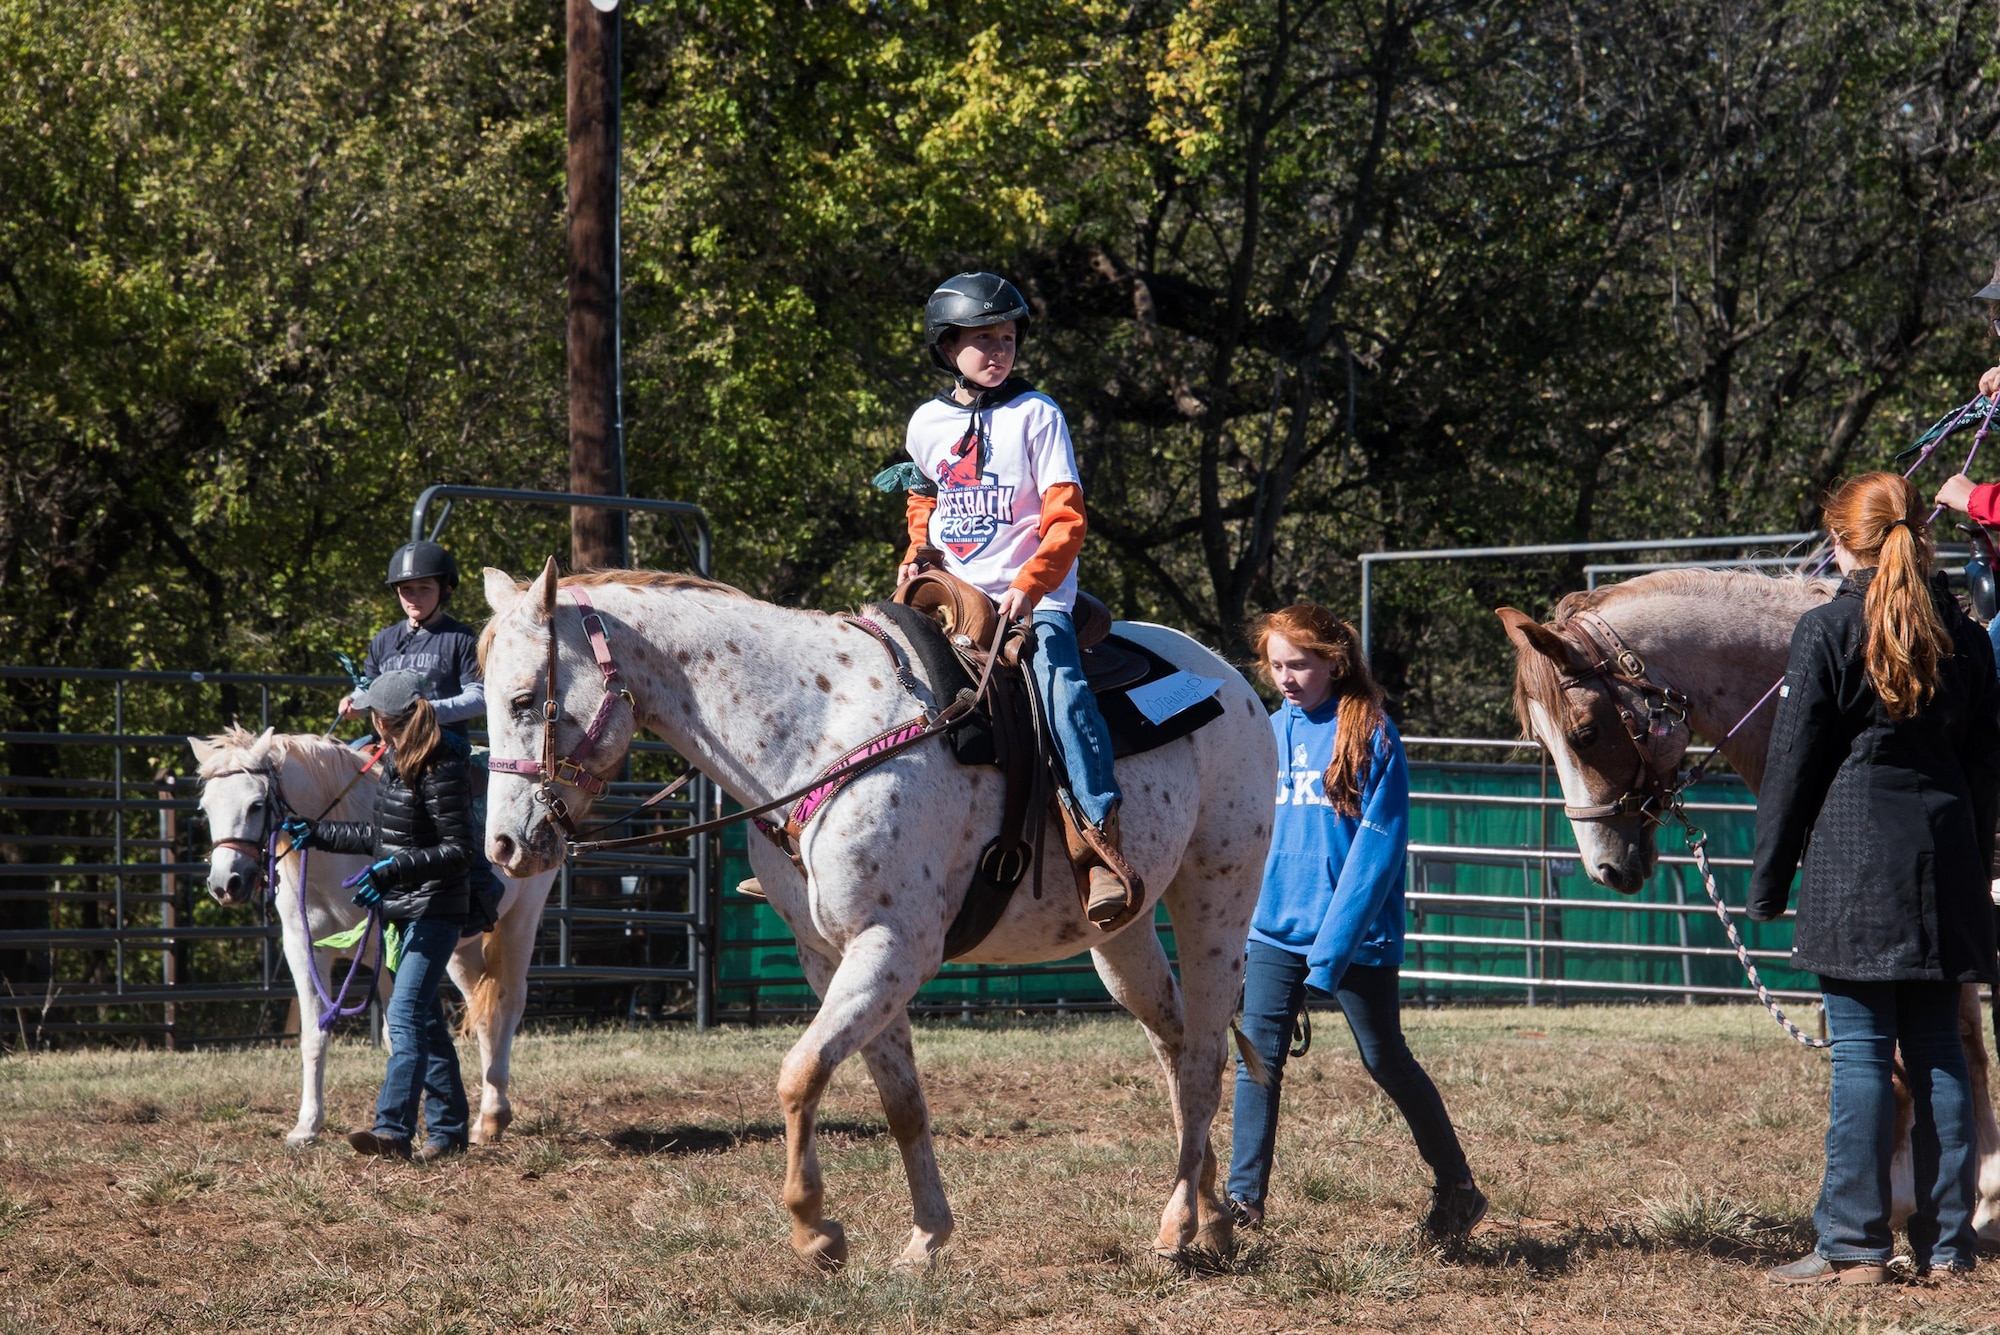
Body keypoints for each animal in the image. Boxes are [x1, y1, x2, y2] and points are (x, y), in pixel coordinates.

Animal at [191, 731, 560, 1151]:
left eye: (255, 805)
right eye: (206, 808)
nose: (226, 884)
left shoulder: (387, 954)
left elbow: (394, 1035)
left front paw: (400, 1128)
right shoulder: (303, 951)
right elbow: (313, 1037)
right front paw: (307, 1126)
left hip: (520, 920)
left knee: (508, 1002)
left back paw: (495, 1112)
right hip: (461, 952)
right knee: (482, 1013)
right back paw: (485, 1121)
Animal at [476, 567, 1272, 1271]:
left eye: (523, 699)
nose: (504, 847)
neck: (817, 732)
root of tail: (1234, 686)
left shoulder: (893, 946)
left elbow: (800, 1073)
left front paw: (815, 1230)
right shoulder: (830, 956)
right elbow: (901, 1101)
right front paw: (925, 1237)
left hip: (1216, 902)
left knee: (1204, 1060)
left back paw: (1177, 1227)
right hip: (1123, 935)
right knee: (1174, 1045)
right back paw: (1212, 1218)